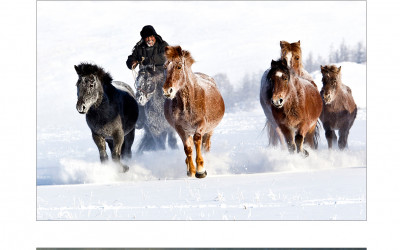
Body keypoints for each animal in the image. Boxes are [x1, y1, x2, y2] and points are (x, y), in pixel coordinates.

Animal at [162, 45, 225, 178]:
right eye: (165, 67)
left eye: (179, 66)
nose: (167, 91)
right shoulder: (180, 128)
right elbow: (188, 148)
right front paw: (191, 170)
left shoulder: (201, 125)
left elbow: (197, 141)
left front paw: (200, 170)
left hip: (210, 130)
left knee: (206, 146)